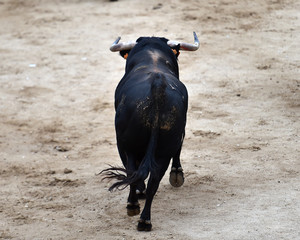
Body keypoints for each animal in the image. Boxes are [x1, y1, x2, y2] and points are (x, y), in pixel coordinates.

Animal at [101, 31, 199, 231]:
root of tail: (157, 87)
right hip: (164, 148)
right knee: (154, 180)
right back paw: (145, 219)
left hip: (127, 145)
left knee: (133, 172)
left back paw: (134, 207)